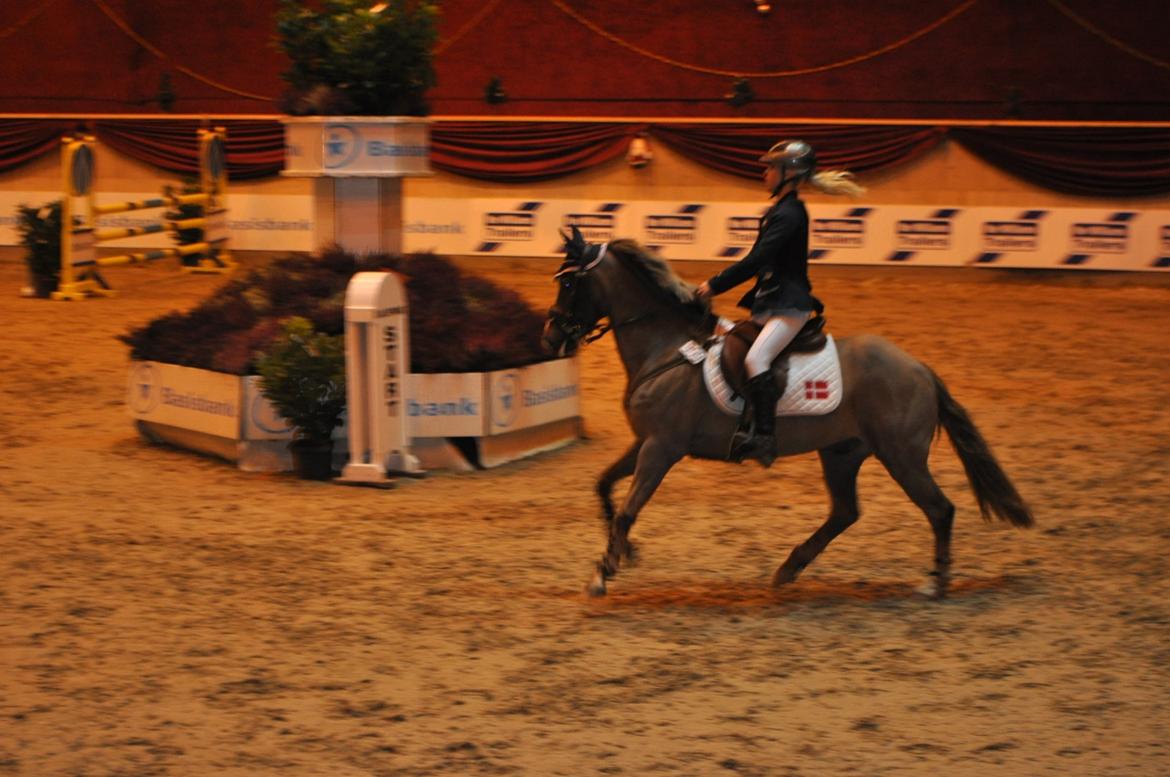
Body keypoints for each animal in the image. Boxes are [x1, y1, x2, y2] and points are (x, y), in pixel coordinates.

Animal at [538, 234, 1034, 596]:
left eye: (568, 284)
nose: (550, 338)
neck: (666, 348)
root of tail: (920, 368)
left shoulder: (662, 448)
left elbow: (628, 508)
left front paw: (604, 571)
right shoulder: (645, 442)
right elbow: (604, 486)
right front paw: (624, 553)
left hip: (901, 456)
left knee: (939, 509)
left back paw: (936, 583)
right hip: (842, 452)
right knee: (845, 512)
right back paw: (788, 569)